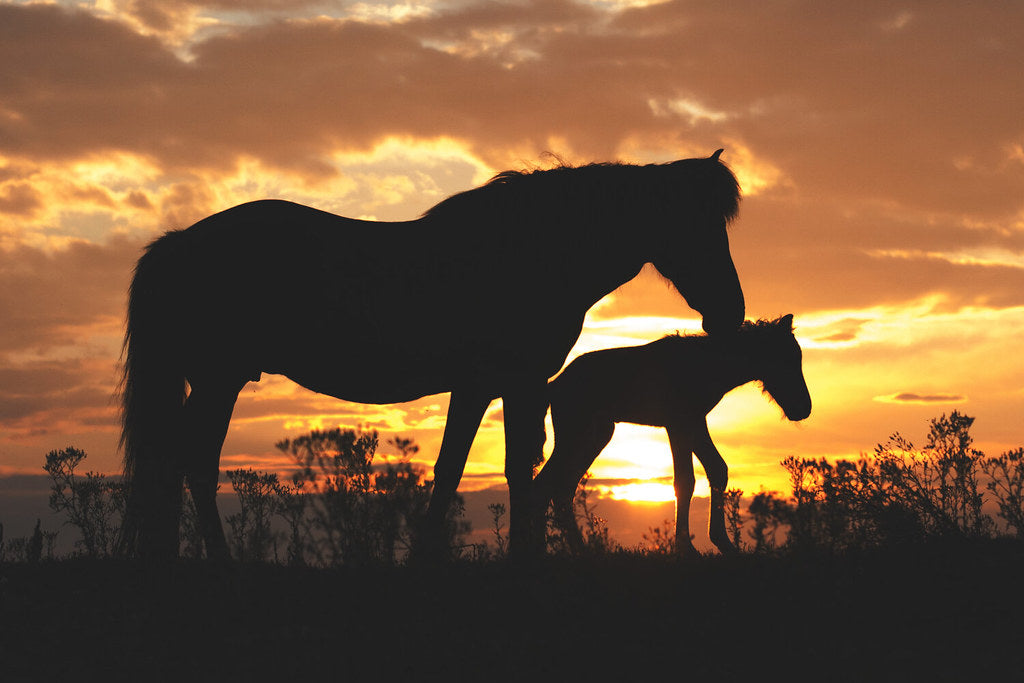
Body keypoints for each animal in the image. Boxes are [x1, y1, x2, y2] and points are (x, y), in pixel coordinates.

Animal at [119, 149, 745, 561]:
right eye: (700, 224)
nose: (732, 313)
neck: (531, 253)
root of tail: (177, 243)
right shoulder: (516, 384)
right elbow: (513, 471)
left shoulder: (482, 387)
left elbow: (456, 471)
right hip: (218, 380)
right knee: (193, 463)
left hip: (211, 381)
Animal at [532, 315, 811, 557]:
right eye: (784, 359)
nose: (804, 408)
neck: (708, 365)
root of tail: (554, 386)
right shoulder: (678, 424)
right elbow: (685, 481)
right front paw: (687, 549)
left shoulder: (695, 421)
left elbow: (717, 469)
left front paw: (724, 544)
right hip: (574, 434)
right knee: (545, 485)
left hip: (597, 434)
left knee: (563, 489)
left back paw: (579, 549)